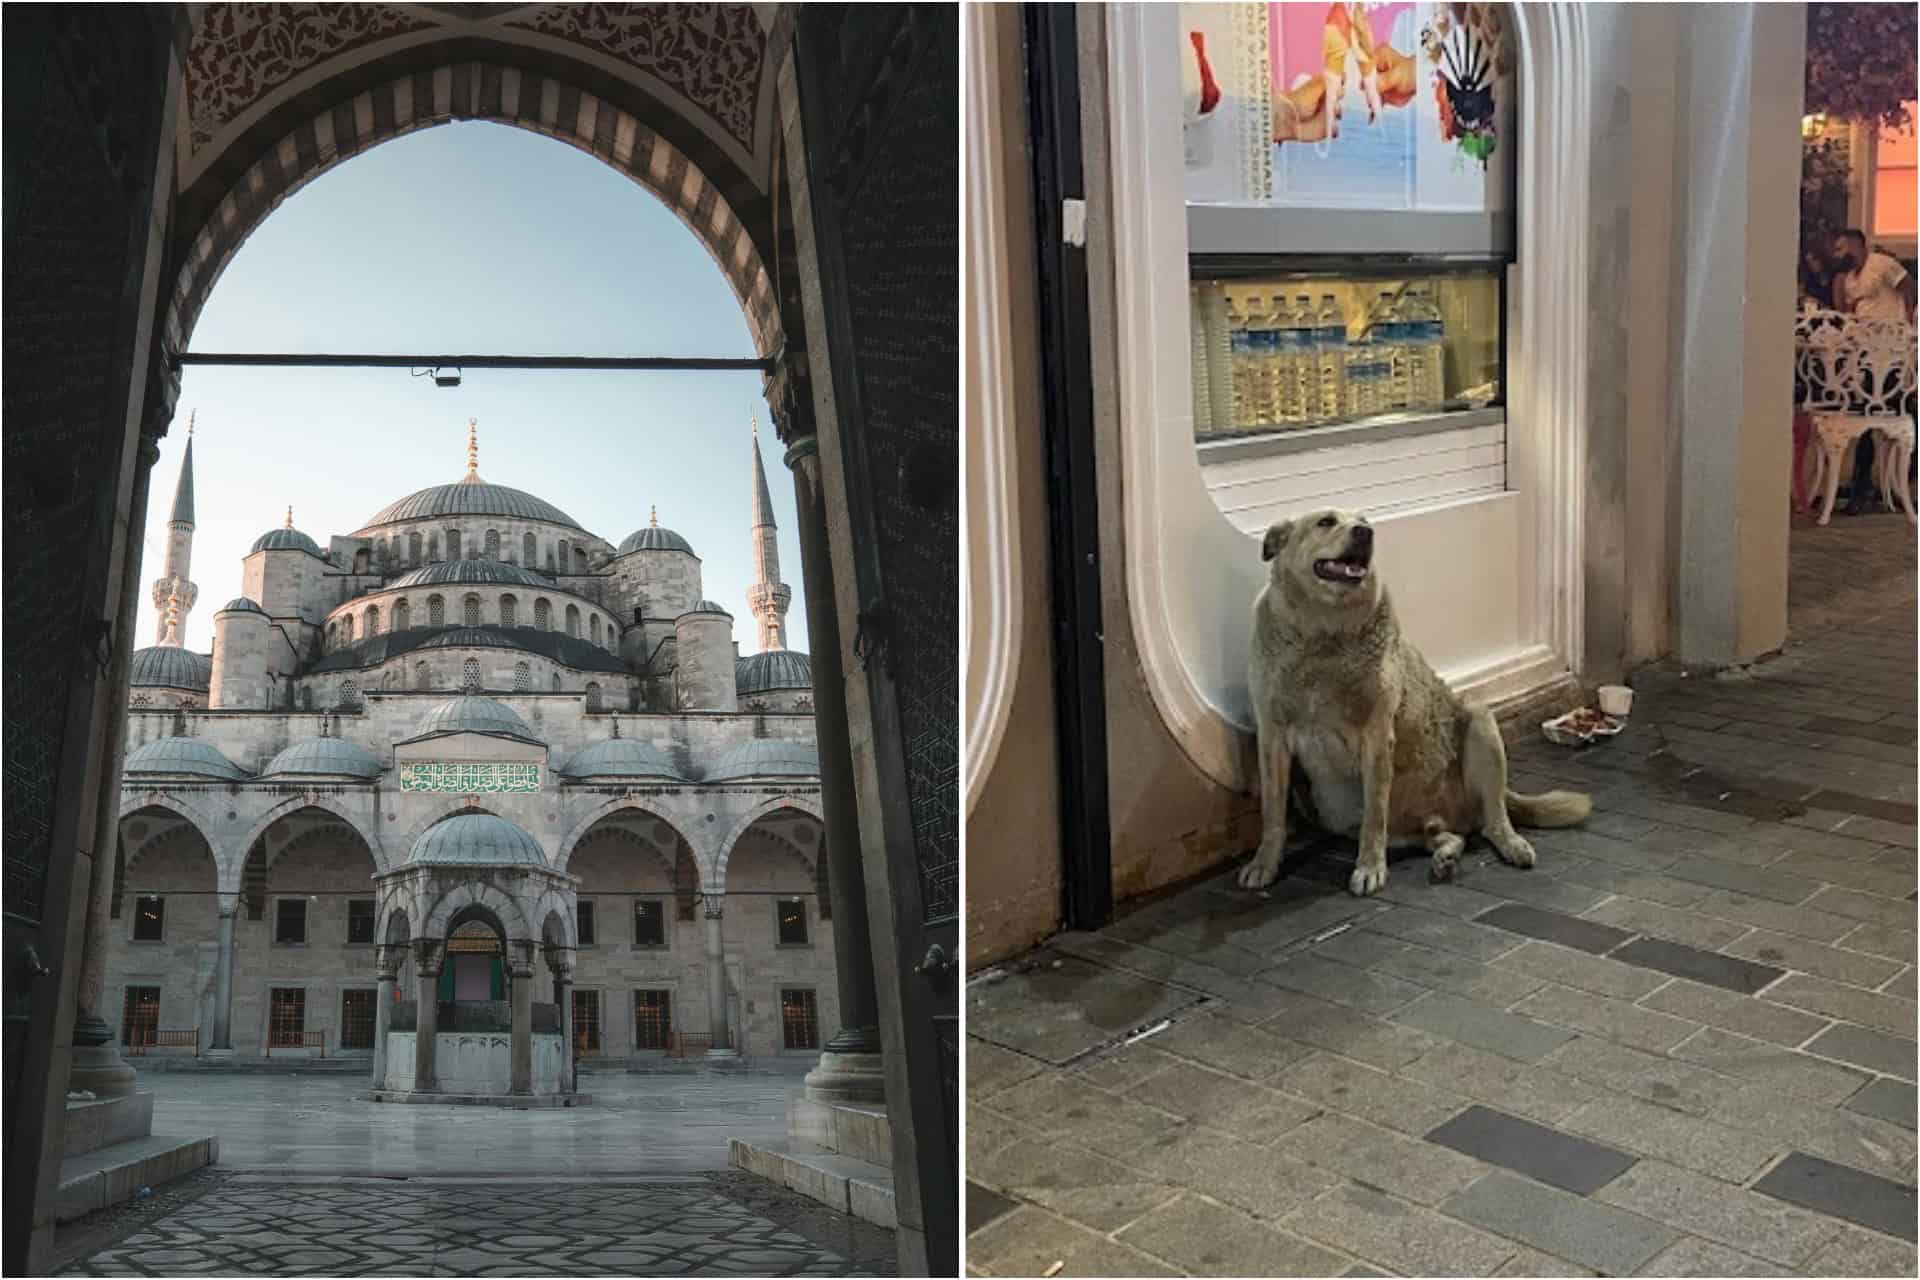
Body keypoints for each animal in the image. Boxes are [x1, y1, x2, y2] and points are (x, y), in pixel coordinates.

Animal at [1244, 506, 1589, 898]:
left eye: (1363, 520)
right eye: (1325, 522)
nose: (1365, 532)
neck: (1323, 634)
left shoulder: (1377, 737)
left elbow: (1374, 816)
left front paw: (1369, 868)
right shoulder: (1272, 737)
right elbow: (1272, 813)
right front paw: (1264, 863)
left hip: (1479, 721)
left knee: (1493, 819)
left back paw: (1510, 844)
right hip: (1350, 817)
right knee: (1449, 836)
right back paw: (1445, 857)